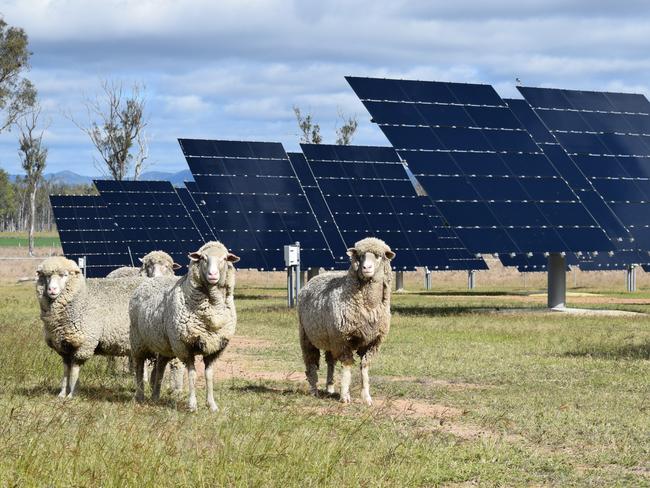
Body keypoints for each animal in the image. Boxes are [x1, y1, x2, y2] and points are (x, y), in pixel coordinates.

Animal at [35, 258, 142, 398]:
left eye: (64, 275)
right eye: (46, 276)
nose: (52, 290)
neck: (81, 298)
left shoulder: (85, 343)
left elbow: (75, 369)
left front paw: (72, 394)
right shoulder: (64, 345)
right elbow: (66, 370)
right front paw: (62, 394)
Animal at [128, 241, 239, 412]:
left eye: (225, 258)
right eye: (203, 258)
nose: (213, 275)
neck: (212, 309)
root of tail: (150, 281)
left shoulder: (214, 347)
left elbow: (209, 376)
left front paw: (212, 405)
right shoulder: (186, 346)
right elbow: (192, 375)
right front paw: (192, 405)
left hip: (164, 345)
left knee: (160, 369)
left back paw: (155, 396)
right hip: (138, 341)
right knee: (139, 367)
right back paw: (140, 396)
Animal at [294, 238, 394, 406]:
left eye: (379, 256)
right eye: (359, 256)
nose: (366, 268)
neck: (369, 306)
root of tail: (319, 275)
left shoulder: (372, 342)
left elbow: (365, 368)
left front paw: (367, 397)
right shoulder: (342, 340)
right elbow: (347, 366)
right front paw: (345, 396)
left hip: (329, 338)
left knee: (330, 362)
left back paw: (329, 387)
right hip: (307, 335)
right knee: (311, 363)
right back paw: (314, 389)